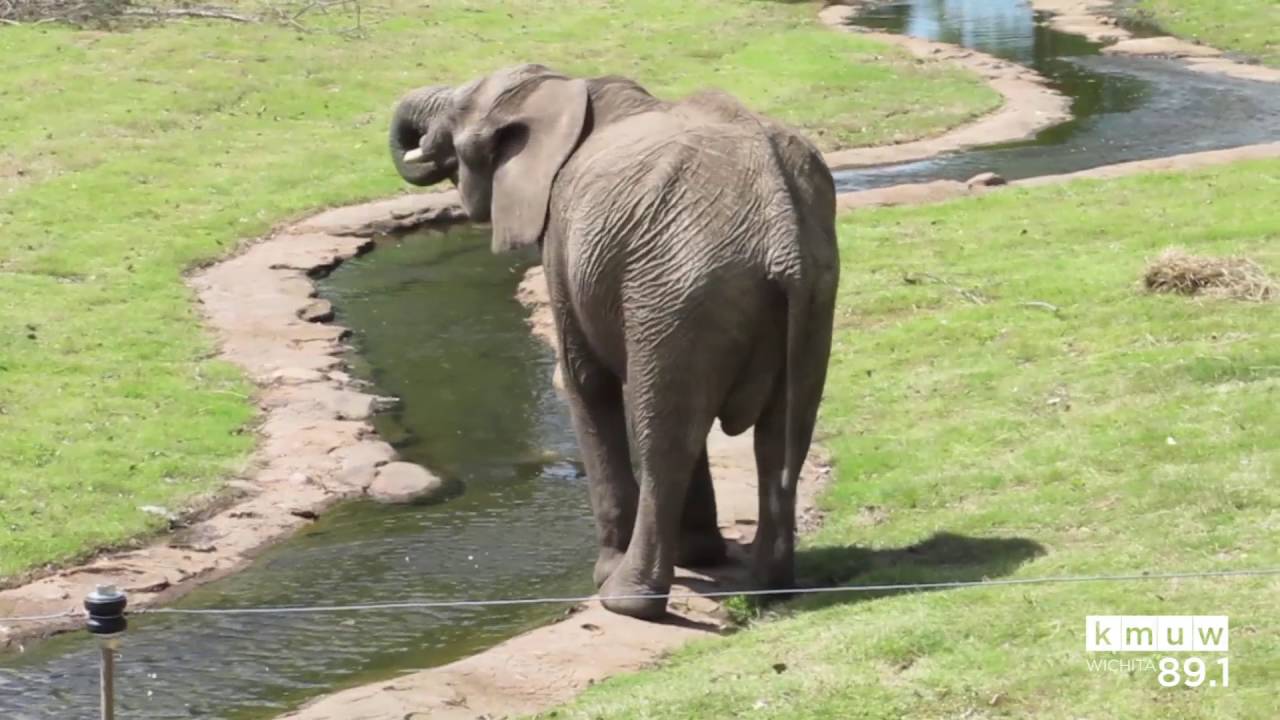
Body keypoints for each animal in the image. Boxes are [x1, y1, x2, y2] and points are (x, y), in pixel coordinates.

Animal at [388, 64, 838, 619]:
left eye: (456, 117)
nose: (421, 142)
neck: (567, 88)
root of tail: (782, 221)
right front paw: (701, 556)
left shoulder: (562, 241)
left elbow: (587, 384)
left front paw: (610, 570)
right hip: (800, 290)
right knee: (779, 434)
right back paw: (769, 590)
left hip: (685, 285)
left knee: (664, 433)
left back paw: (626, 599)